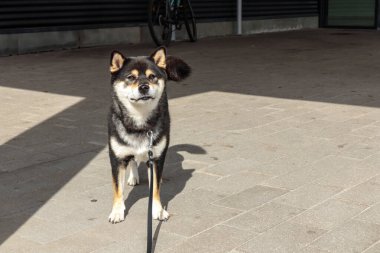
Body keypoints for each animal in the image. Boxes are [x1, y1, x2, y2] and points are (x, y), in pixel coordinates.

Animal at [107, 47, 190, 223]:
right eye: (131, 77)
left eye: (152, 76)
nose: (144, 86)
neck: (140, 122)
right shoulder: (117, 158)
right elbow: (118, 189)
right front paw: (117, 212)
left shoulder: (156, 158)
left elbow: (155, 189)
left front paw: (157, 210)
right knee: (132, 160)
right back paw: (133, 177)